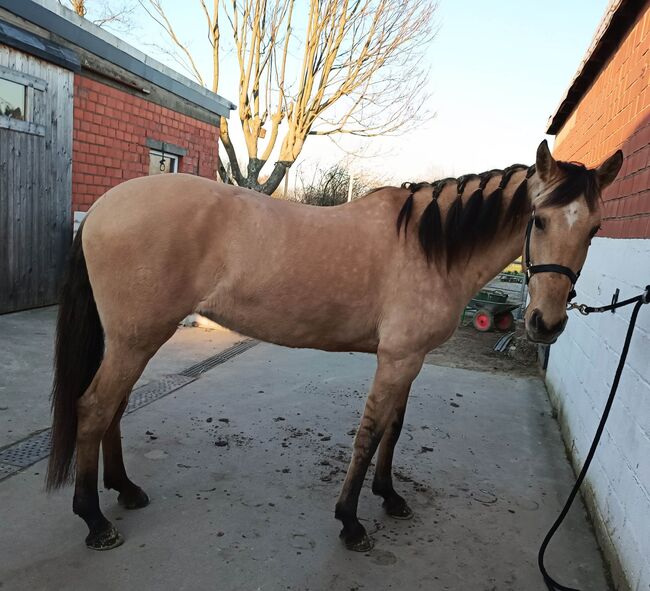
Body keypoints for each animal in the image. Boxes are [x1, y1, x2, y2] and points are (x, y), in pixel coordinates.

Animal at [46, 140, 624, 556]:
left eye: (596, 228)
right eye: (539, 219)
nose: (546, 323)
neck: (431, 248)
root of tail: (103, 207)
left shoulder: (410, 360)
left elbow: (394, 430)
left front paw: (389, 497)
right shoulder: (396, 360)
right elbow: (368, 435)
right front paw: (351, 522)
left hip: (135, 340)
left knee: (114, 409)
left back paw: (125, 489)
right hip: (135, 338)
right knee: (94, 409)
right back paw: (94, 519)